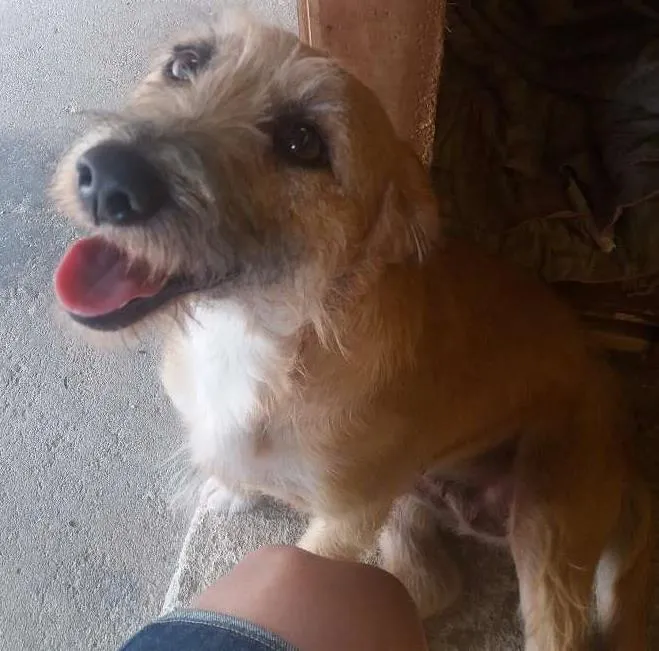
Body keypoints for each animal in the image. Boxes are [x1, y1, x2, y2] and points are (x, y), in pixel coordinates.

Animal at [52, 13, 651, 651]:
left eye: (302, 141)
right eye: (185, 62)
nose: (108, 177)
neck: (261, 330)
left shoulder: (345, 521)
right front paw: (233, 489)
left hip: (547, 525)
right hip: (412, 498)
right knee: (432, 584)